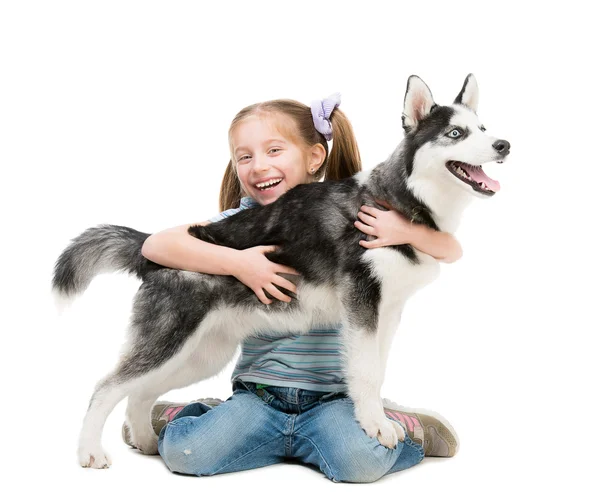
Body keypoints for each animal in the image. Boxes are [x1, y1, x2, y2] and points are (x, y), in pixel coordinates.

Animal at [52, 73, 510, 466]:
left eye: (483, 127)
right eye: (456, 134)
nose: (504, 144)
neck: (398, 201)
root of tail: (151, 249)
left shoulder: (388, 312)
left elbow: (376, 369)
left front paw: (378, 415)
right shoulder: (363, 304)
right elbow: (366, 372)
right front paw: (376, 425)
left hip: (201, 354)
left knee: (139, 393)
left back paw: (147, 440)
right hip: (170, 339)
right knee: (106, 388)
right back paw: (90, 451)